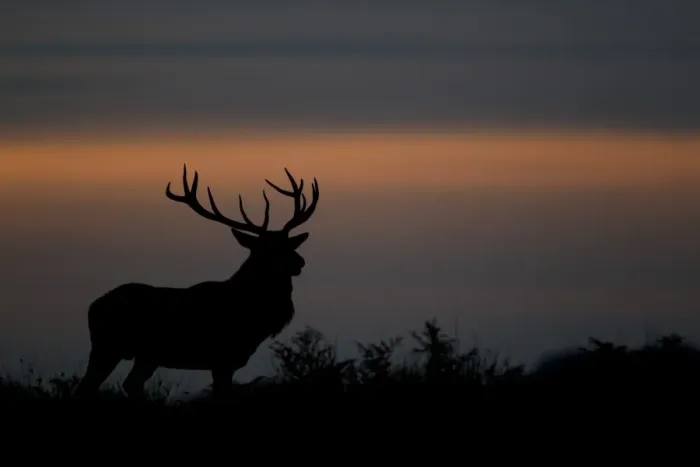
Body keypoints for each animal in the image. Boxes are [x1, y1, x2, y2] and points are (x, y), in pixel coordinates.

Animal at [73, 164, 320, 399]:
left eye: (289, 243)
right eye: (267, 249)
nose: (300, 262)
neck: (254, 318)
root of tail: (92, 307)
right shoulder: (222, 358)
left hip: (145, 355)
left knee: (129, 384)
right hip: (107, 346)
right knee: (86, 388)